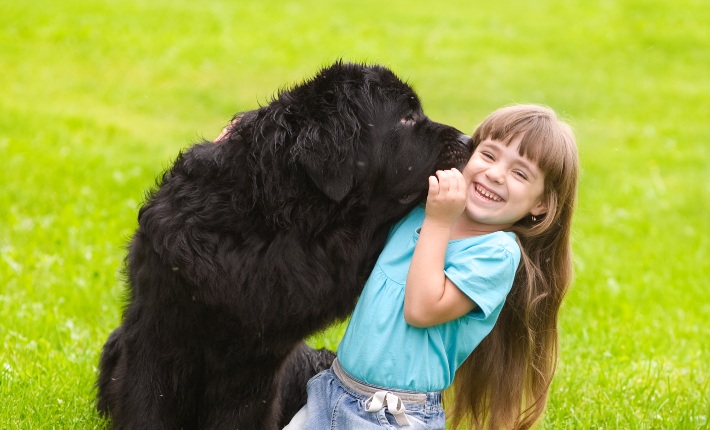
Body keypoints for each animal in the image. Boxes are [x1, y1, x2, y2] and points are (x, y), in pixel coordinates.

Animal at [96, 61, 472, 430]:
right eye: (406, 117)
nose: (468, 139)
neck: (275, 221)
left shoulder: (257, 362)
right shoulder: (158, 333)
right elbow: (148, 407)